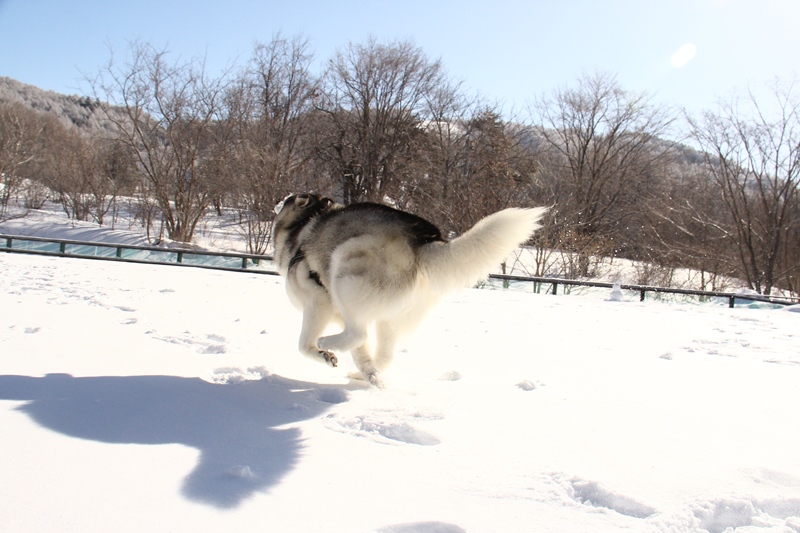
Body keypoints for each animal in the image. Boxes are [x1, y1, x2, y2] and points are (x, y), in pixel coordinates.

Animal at [272, 193, 548, 384]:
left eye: (287, 200)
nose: (277, 201)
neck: (304, 225)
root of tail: (422, 242)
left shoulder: (317, 302)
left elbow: (305, 346)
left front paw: (324, 354)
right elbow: (362, 355)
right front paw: (368, 375)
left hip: (345, 265)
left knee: (358, 334)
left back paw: (327, 342)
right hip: (391, 316)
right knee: (382, 353)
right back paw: (364, 375)